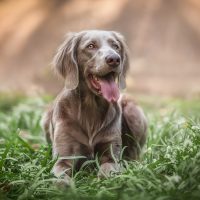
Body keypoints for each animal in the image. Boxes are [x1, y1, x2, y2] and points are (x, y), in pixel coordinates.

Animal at [41, 30, 147, 184]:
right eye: (91, 46)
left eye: (116, 46)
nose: (114, 59)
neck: (91, 108)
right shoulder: (63, 159)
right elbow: (61, 178)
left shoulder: (111, 156)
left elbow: (107, 170)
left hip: (133, 110)